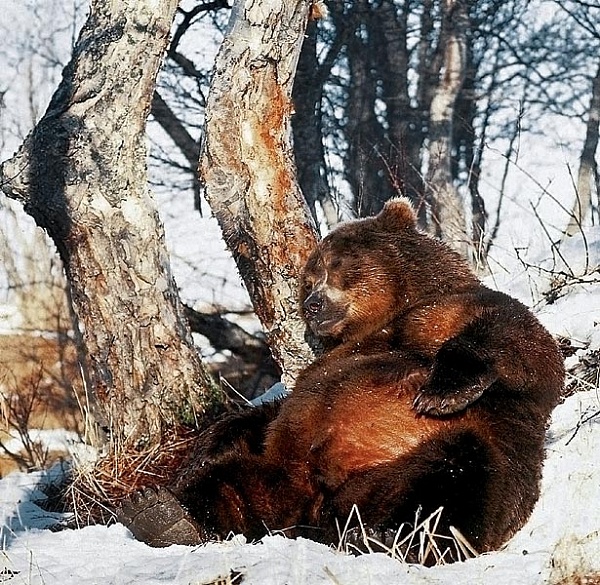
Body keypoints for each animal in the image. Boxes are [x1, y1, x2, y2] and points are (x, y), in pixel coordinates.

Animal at [116, 198, 564, 564]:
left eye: (334, 265)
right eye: (307, 281)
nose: (314, 305)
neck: (381, 320)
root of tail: (314, 512)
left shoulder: (444, 311)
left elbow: (516, 338)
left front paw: (442, 391)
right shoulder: (321, 370)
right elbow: (266, 412)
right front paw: (203, 448)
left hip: (418, 465)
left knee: (456, 473)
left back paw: (395, 537)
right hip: (281, 474)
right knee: (229, 483)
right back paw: (162, 513)